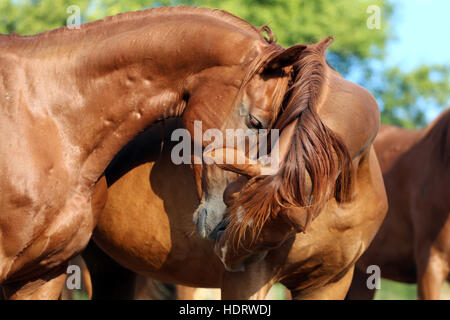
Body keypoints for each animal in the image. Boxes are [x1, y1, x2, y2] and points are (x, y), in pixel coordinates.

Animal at [84, 38, 386, 300]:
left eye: (274, 238)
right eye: (232, 198)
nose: (224, 252)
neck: (345, 198)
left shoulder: (328, 285)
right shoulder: (247, 280)